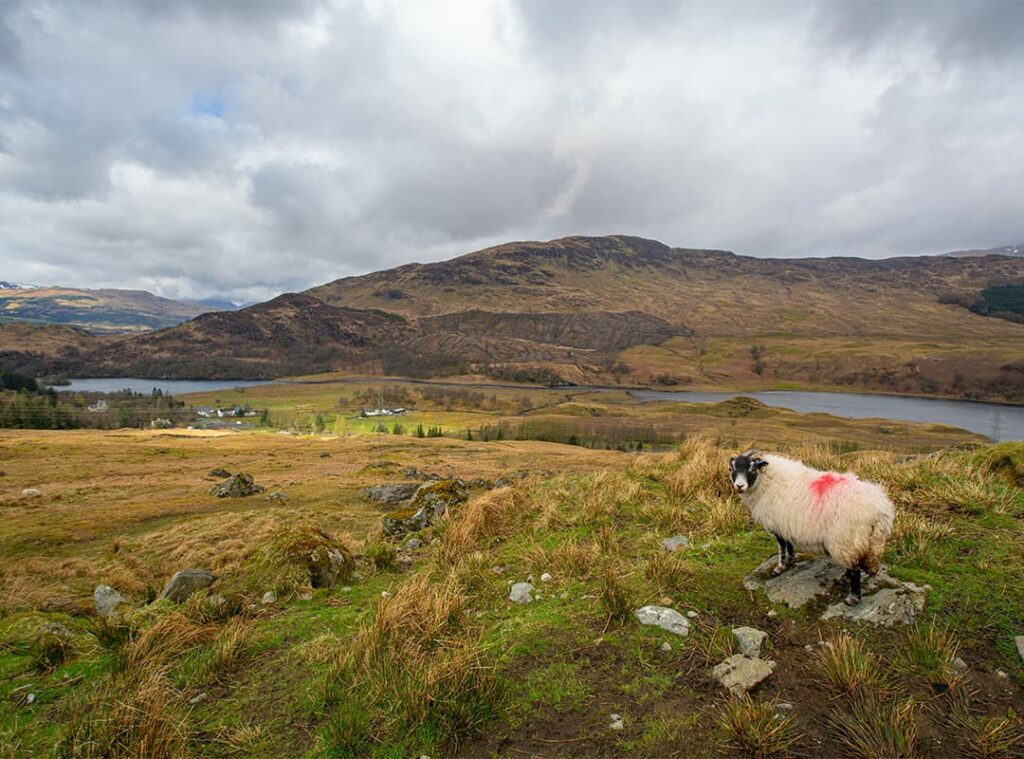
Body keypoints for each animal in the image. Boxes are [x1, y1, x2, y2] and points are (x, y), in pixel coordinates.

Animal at [729, 450, 897, 602]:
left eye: (751, 468)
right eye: (733, 469)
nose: (739, 486)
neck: (767, 482)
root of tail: (880, 509)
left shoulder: (777, 524)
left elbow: (782, 547)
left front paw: (779, 568)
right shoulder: (786, 524)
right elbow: (789, 545)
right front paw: (790, 561)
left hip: (846, 539)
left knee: (854, 568)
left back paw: (853, 597)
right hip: (867, 541)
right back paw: (843, 579)